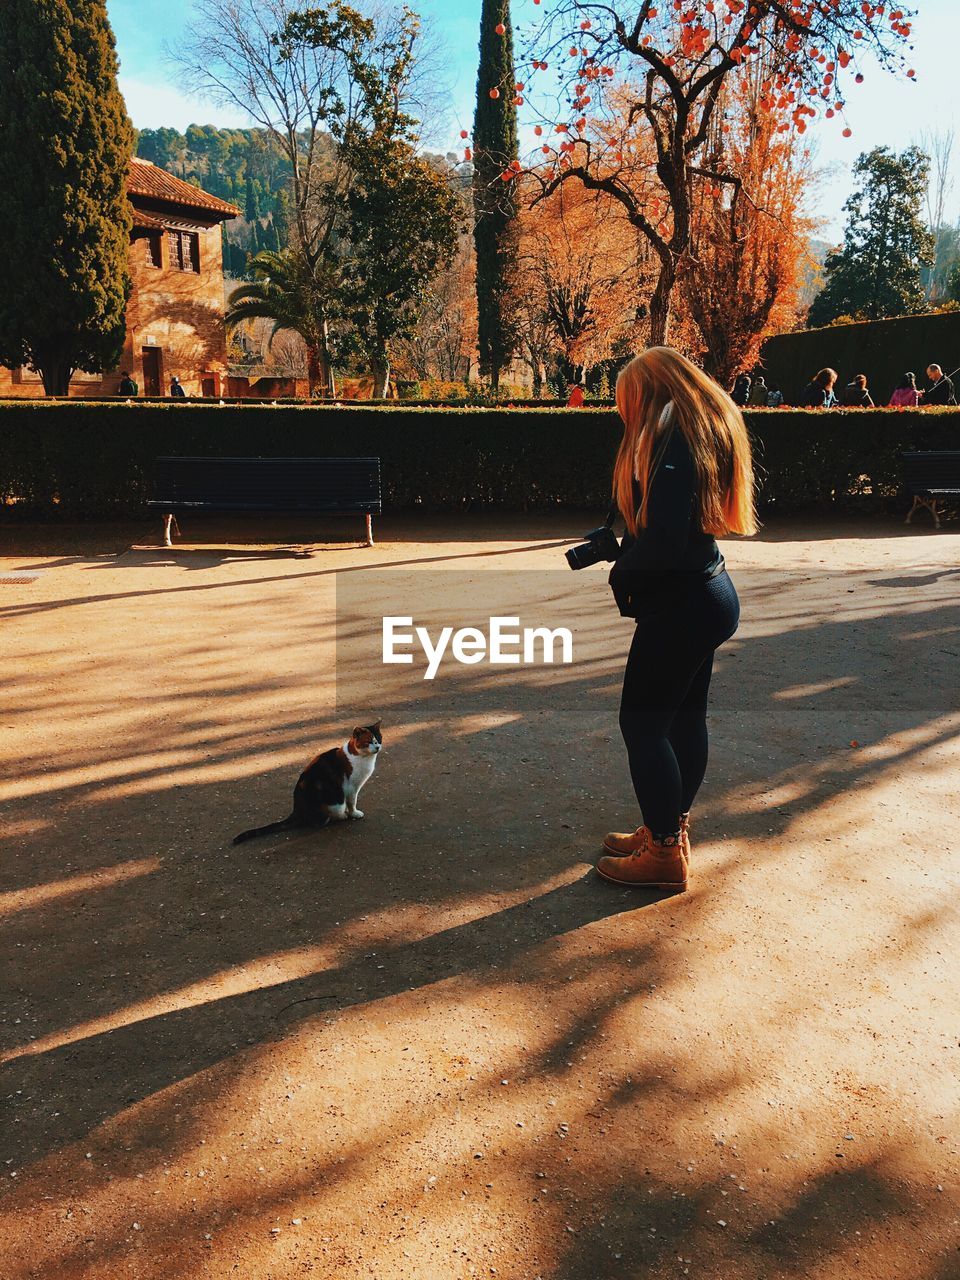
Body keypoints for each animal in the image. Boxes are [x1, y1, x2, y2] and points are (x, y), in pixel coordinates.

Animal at [232, 727, 384, 844]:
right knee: (322, 820)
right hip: (334, 800)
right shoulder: (352, 788)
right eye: (369, 742)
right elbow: (352, 802)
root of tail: (296, 809)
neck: (363, 758)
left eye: (379, 740)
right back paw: (342, 816)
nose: (377, 747)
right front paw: (354, 813)